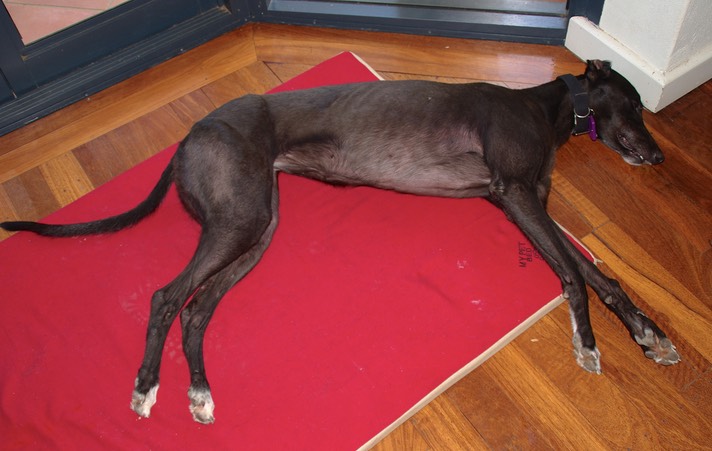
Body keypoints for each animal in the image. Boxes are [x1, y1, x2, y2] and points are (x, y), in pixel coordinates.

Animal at [0, 59, 680, 424]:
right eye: (635, 103)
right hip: (239, 222)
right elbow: (571, 273)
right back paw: (145, 388)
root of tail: (189, 136)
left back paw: (199, 393)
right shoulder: (514, 193)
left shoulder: (525, 201)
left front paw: (649, 334)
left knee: (195, 312)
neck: (545, 110)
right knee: (167, 297)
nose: (658, 158)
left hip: (256, 229)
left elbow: (598, 273)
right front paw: (588, 344)